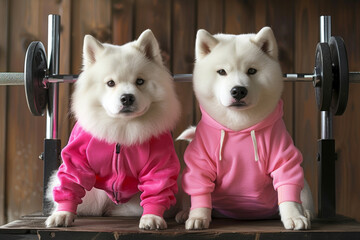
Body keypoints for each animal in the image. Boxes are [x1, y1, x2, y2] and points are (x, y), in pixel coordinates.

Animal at [44, 29, 180, 230]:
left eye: (140, 81)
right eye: (110, 83)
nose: (127, 98)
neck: (122, 130)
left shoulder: (159, 162)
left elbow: (157, 191)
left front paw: (152, 217)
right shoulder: (77, 157)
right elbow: (70, 182)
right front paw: (62, 214)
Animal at [179, 26, 314, 231]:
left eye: (252, 71)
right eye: (221, 72)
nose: (238, 90)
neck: (239, 127)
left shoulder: (284, 157)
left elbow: (288, 189)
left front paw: (294, 216)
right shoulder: (199, 162)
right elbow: (200, 192)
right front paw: (198, 216)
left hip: (304, 187)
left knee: (301, 197)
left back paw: (305, 212)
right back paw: (185, 212)